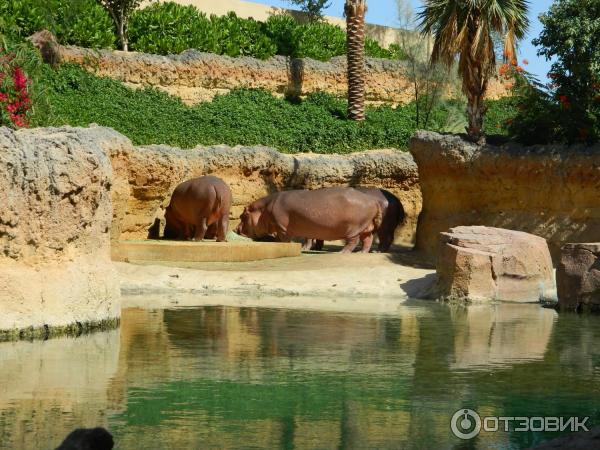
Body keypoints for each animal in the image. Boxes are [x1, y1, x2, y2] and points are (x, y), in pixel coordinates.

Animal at [233, 186, 380, 253]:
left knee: (353, 241)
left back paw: (342, 252)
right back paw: (362, 252)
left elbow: (283, 239)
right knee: (368, 239)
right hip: (365, 227)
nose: (234, 229)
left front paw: (282, 245)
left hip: (353, 229)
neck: (263, 210)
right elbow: (306, 237)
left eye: (242, 215)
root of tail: (373, 200)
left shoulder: (281, 227)